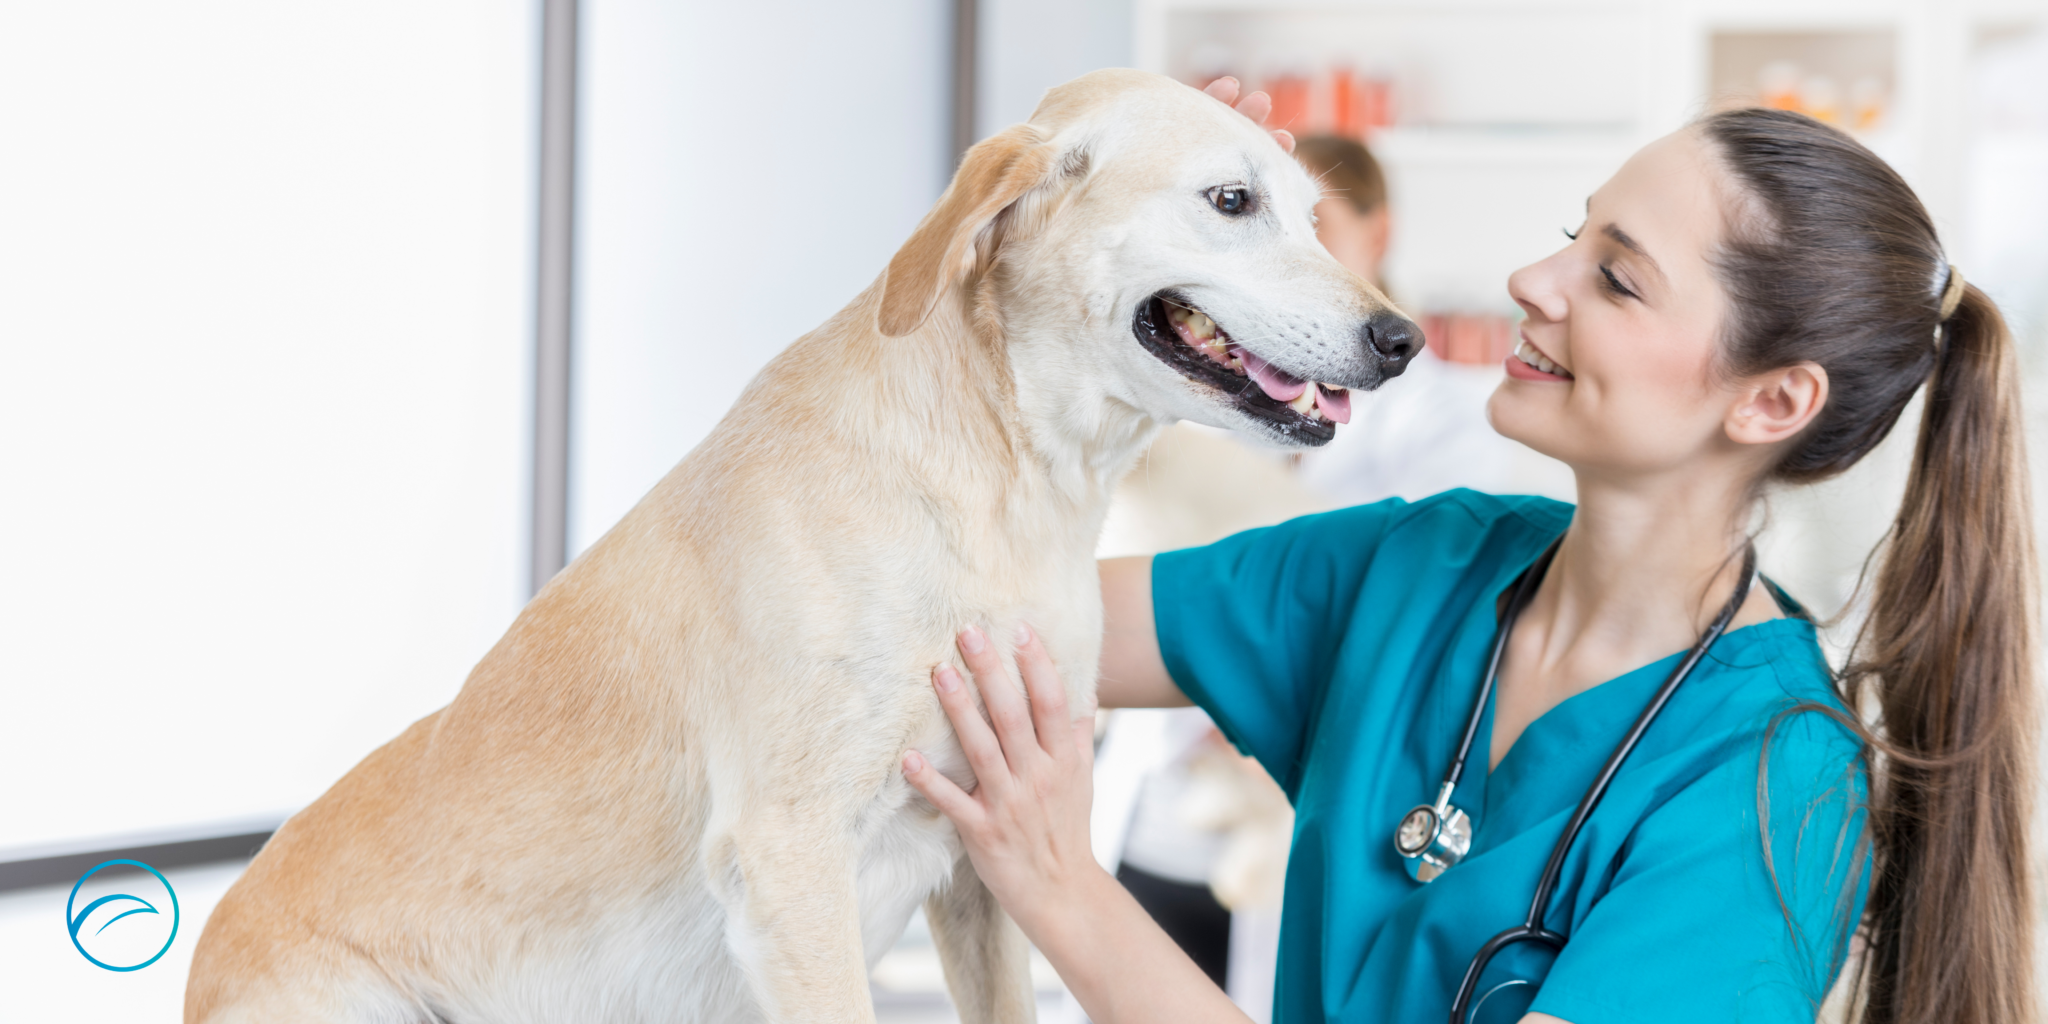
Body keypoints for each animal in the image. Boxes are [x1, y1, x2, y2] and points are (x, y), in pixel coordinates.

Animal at [188, 72, 1409, 1024]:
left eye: (1310, 216)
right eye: (1231, 201)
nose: (1400, 339)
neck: (1004, 484)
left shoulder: (982, 858)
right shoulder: (789, 860)